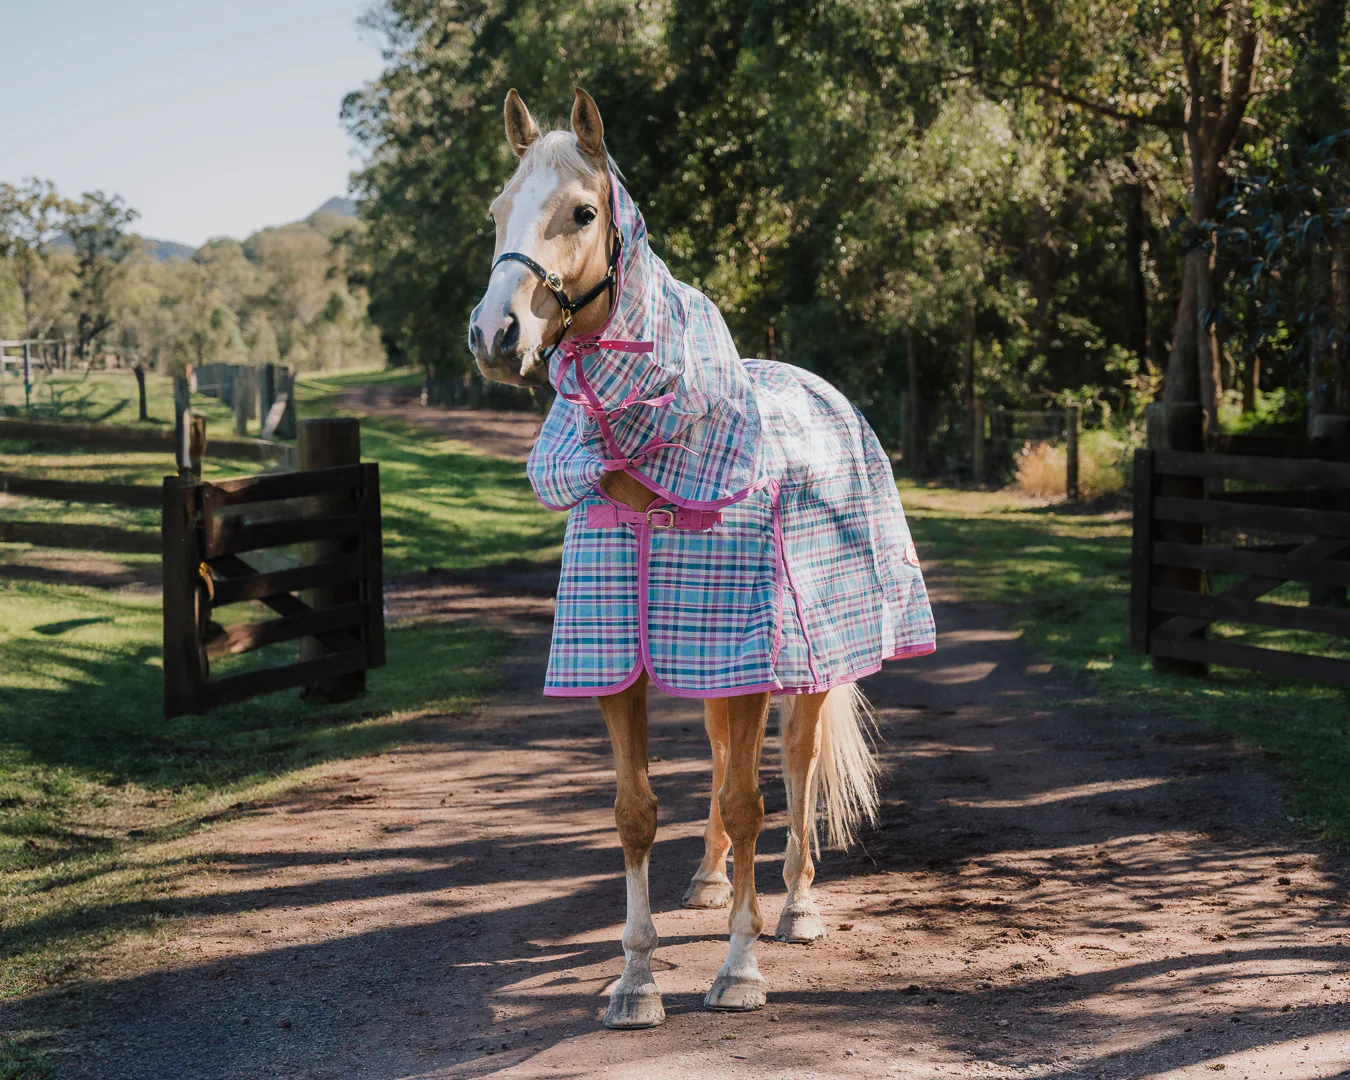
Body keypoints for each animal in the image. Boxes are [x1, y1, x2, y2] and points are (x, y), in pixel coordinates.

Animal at [468, 88, 935, 1029]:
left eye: (583, 212)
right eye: (498, 210)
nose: (495, 335)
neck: (645, 467)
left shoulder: (746, 661)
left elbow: (751, 801)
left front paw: (740, 970)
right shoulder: (621, 664)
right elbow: (637, 812)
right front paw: (636, 982)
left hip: (800, 669)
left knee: (793, 766)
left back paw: (793, 907)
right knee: (724, 761)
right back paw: (716, 882)